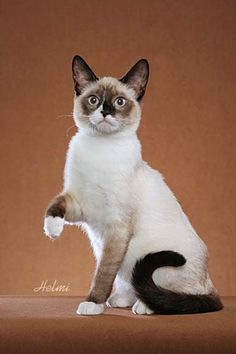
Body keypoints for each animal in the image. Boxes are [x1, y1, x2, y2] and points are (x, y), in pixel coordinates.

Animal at [43, 55, 222, 316]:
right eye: (94, 100)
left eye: (119, 102)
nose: (105, 112)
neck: (100, 149)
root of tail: (209, 282)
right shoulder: (81, 204)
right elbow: (55, 204)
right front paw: (53, 230)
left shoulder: (117, 226)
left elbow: (103, 272)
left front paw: (92, 303)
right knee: (130, 282)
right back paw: (122, 299)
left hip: (141, 250)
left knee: (176, 294)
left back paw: (145, 306)